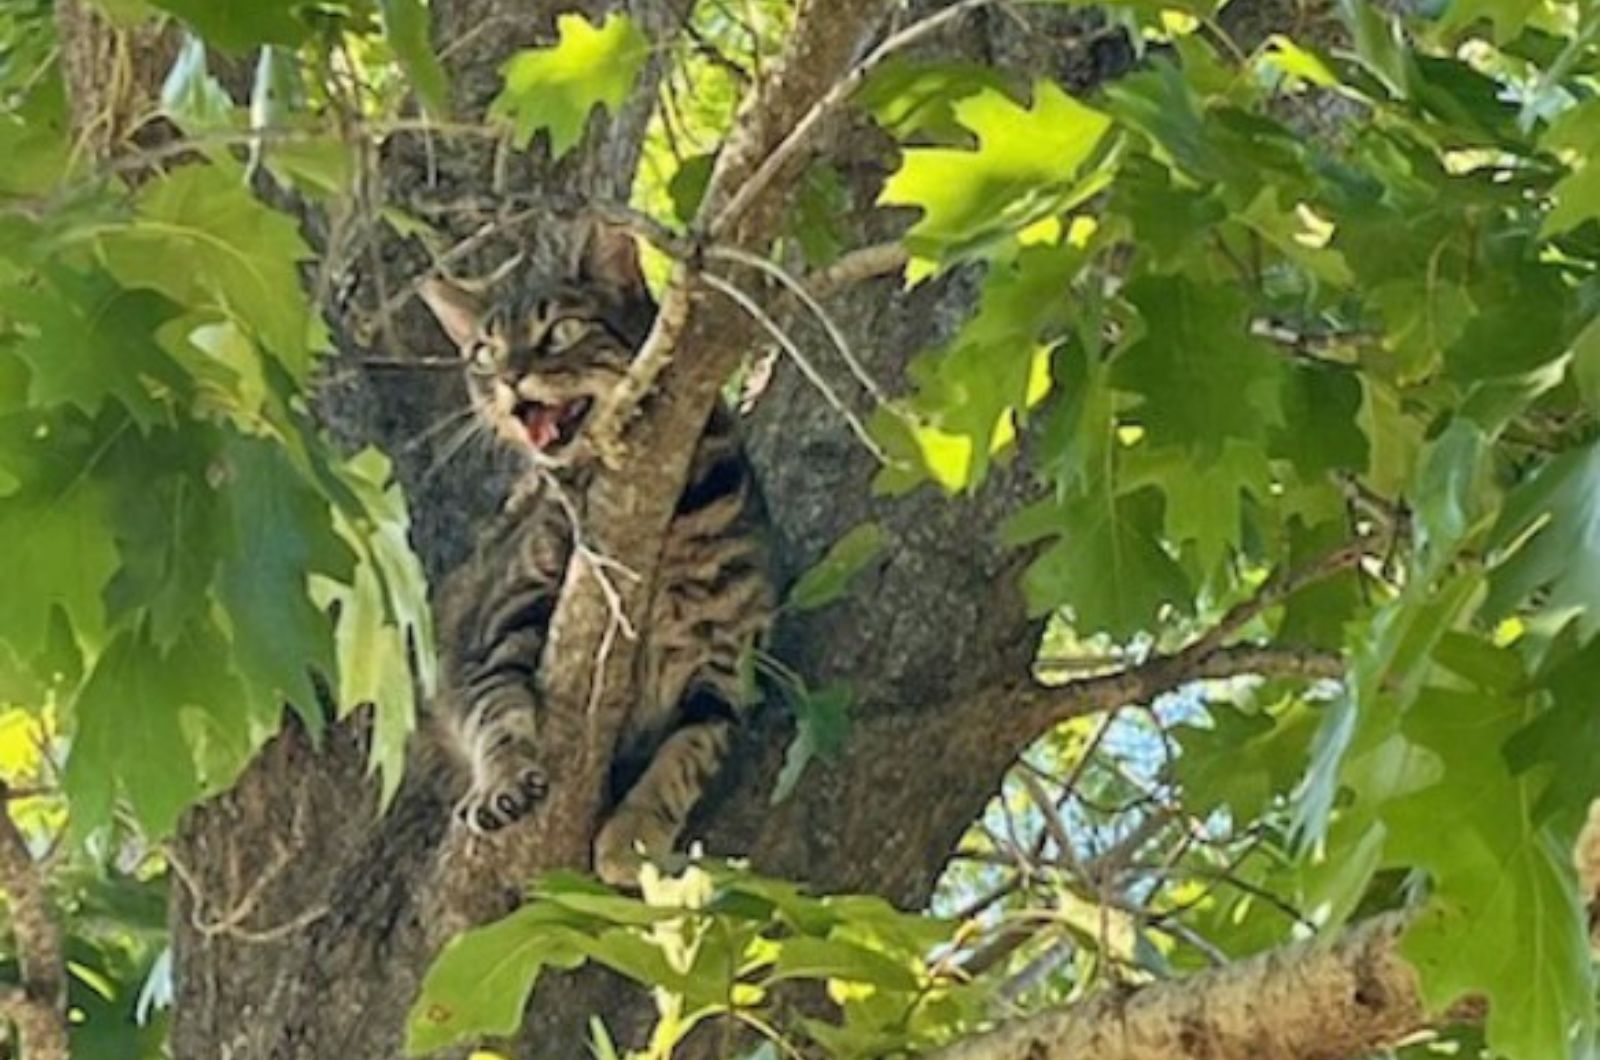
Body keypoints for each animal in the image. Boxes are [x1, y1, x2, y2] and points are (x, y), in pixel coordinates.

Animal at [419, 224, 774, 890]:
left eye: (560, 331)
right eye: (484, 353)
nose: (509, 378)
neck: (659, 522)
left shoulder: (727, 670)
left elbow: (686, 756)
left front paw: (631, 838)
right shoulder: (498, 621)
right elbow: (495, 709)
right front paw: (504, 779)